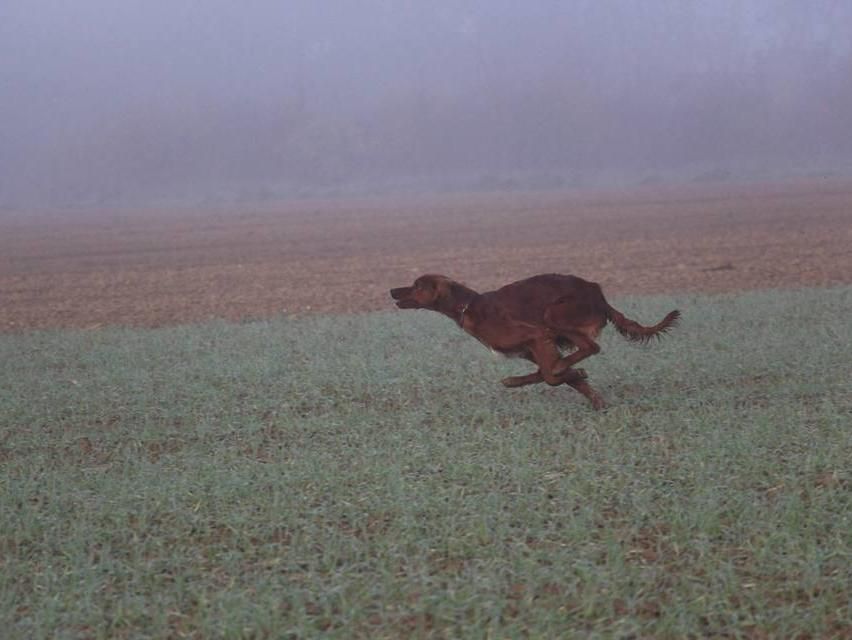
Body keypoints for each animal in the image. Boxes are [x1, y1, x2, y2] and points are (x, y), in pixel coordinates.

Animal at [392, 272, 680, 408]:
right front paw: (593, 396)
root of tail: (598, 293)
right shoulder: (533, 349)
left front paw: (572, 372)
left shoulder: (538, 336)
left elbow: (551, 375)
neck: (468, 306)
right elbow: (552, 375)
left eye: (417, 285)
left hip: (555, 313)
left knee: (591, 346)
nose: (392, 290)